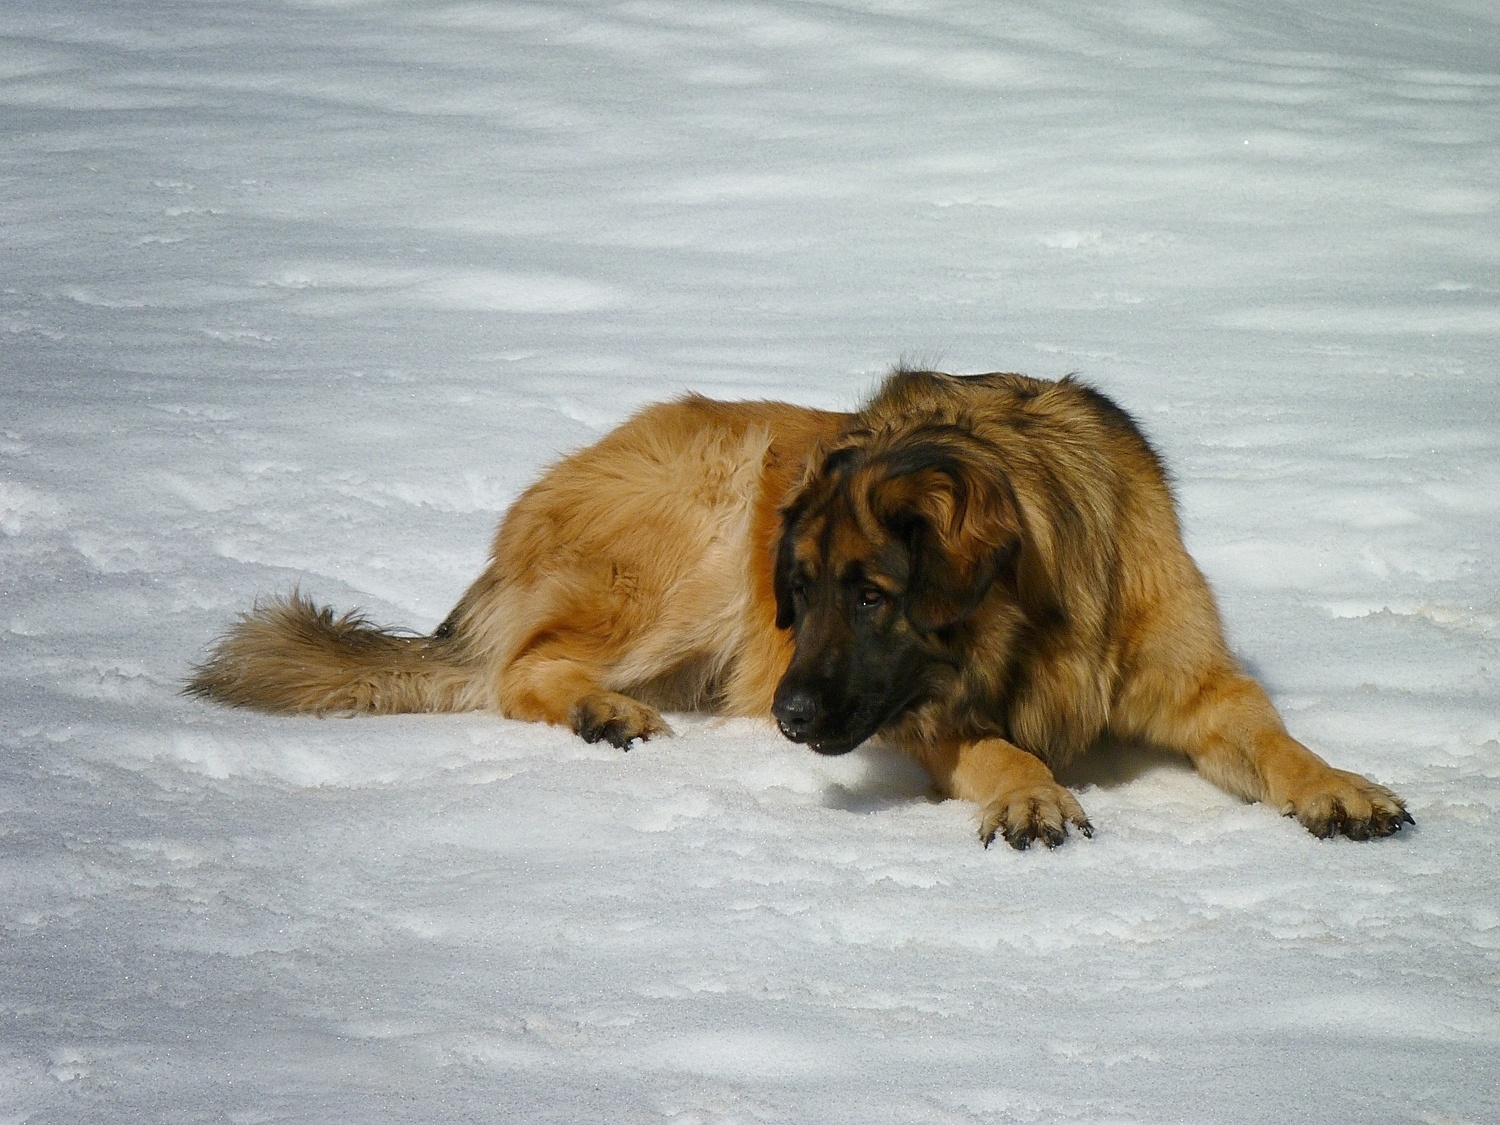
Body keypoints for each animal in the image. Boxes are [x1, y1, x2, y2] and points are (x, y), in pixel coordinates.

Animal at [184, 372, 1404, 852]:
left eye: (871, 595)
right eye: (799, 593)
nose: (792, 719)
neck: (1045, 613)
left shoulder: (1198, 679)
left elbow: (1271, 733)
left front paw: (1336, 783)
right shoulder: (925, 715)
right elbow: (1001, 747)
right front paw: (1030, 794)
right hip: (694, 545)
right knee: (515, 670)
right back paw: (600, 711)